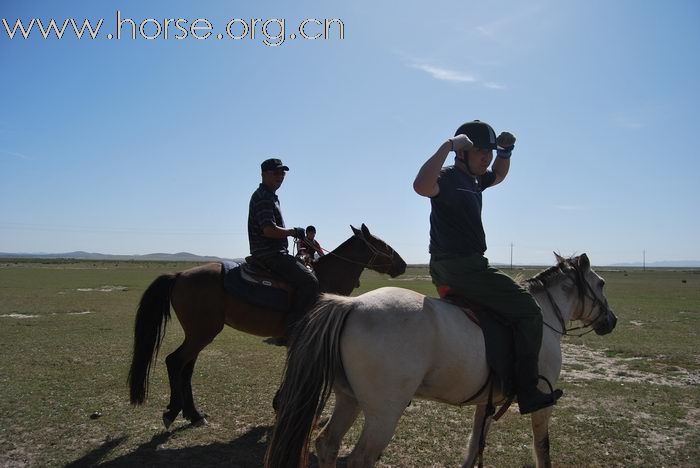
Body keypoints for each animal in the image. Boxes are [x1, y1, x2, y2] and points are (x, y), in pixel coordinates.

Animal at [129, 225, 408, 430]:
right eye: (382, 244)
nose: (403, 264)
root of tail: (179, 275)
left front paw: (280, 403)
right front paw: (284, 404)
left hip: (198, 334)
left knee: (185, 368)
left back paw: (194, 415)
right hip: (201, 333)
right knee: (175, 361)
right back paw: (173, 412)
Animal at [266, 256, 616, 468]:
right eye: (600, 283)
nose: (611, 321)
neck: (542, 317)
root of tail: (351, 305)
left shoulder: (486, 403)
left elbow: (475, 445)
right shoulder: (542, 403)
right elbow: (542, 447)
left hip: (349, 399)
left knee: (327, 444)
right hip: (383, 414)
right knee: (359, 459)